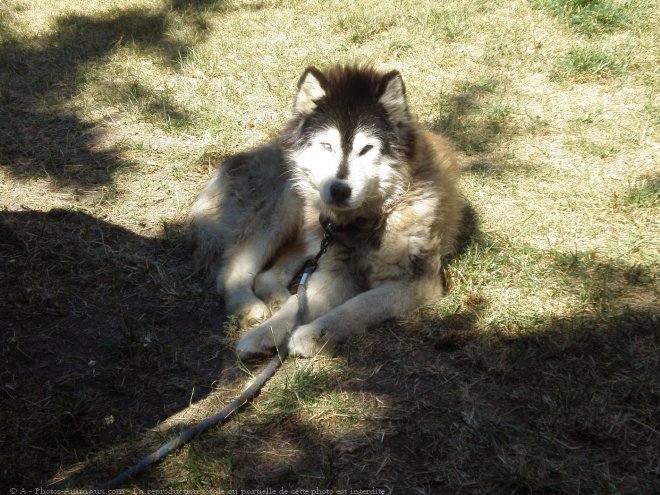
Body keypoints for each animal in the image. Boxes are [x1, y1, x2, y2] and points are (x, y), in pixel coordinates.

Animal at [187, 65, 464, 360]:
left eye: (367, 149)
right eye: (327, 145)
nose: (339, 190)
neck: (370, 220)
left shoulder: (417, 281)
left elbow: (357, 305)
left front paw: (310, 334)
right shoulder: (337, 271)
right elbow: (321, 303)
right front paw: (267, 332)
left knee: (268, 275)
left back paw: (280, 298)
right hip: (284, 209)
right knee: (234, 271)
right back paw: (250, 307)